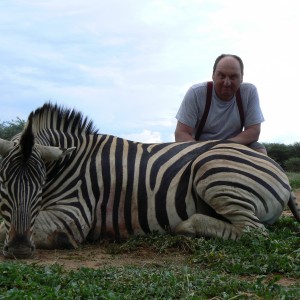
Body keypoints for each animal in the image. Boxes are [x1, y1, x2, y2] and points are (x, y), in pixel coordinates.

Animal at [0, 103, 298, 258]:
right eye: (3, 184)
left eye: (39, 186)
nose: (19, 249)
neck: (67, 163)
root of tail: (278, 169)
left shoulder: (72, 216)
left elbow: (6, 228)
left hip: (213, 170)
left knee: (254, 231)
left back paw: (188, 226)